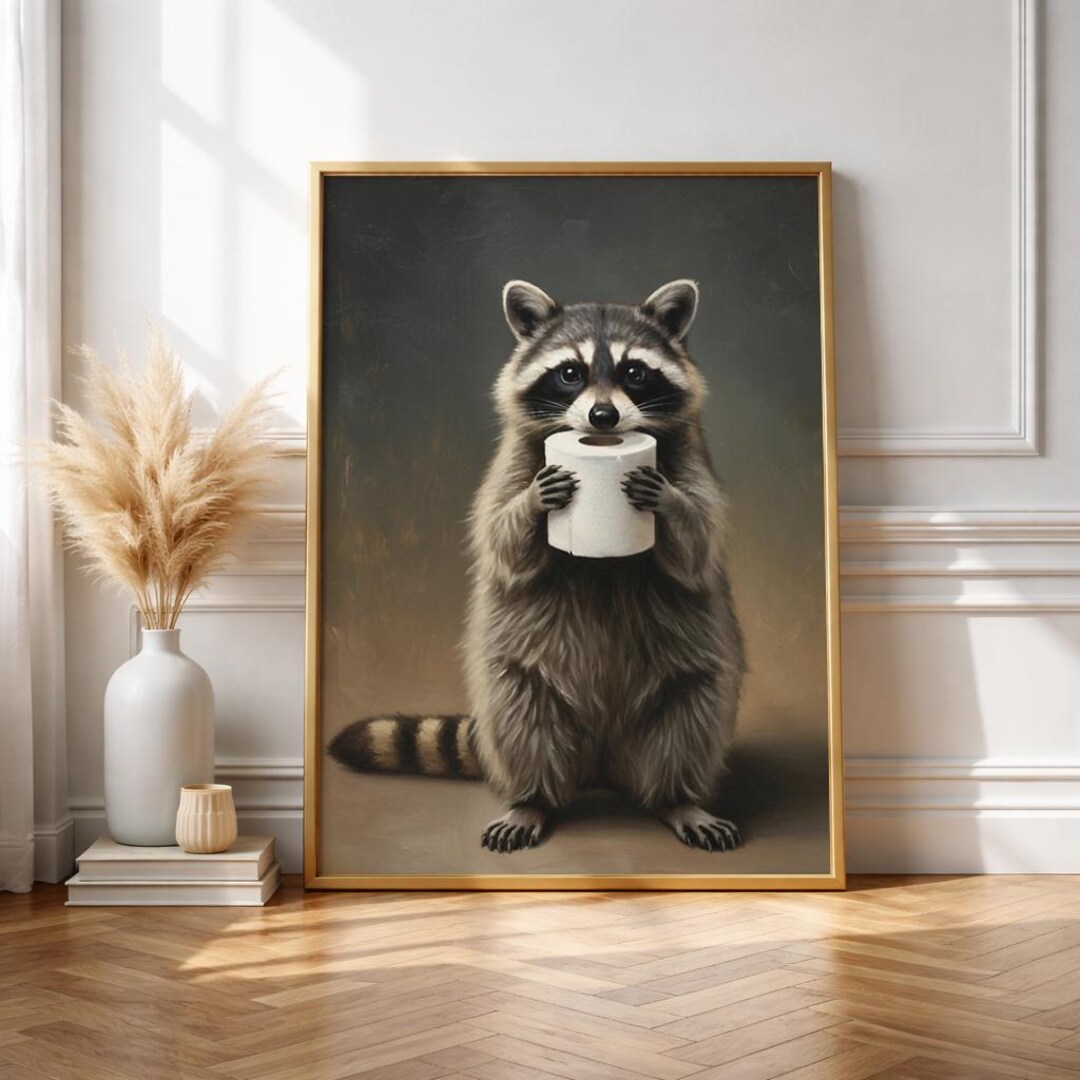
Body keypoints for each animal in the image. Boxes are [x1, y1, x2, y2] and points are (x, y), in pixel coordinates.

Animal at [329, 279, 746, 854]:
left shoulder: (692, 462)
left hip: (689, 664)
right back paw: (533, 800)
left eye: (634, 372)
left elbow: (696, 547)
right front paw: (530, 504)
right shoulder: (511, 462)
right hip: (520, 669)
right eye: (570, 373)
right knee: (521, 717)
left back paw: (675, 798)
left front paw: (668, 501)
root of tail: (603, 764)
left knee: (692, 710)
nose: (603, 420)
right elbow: (501, 541)